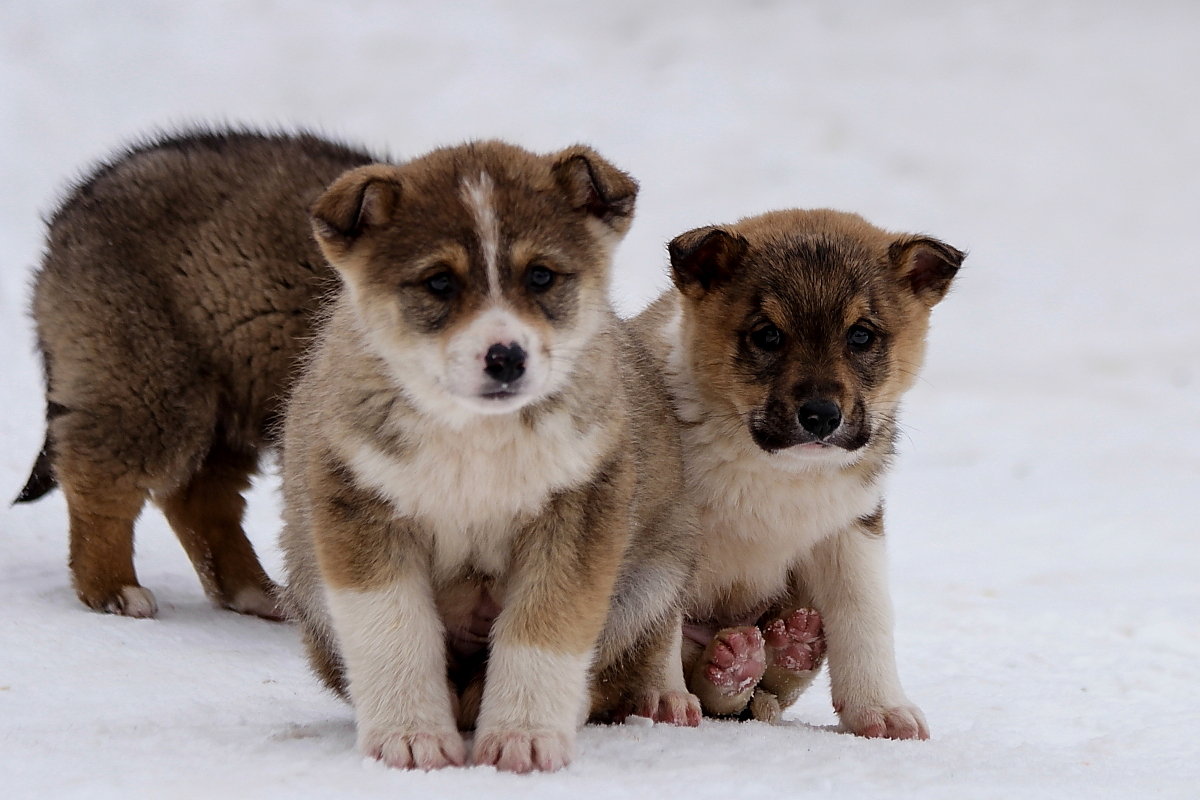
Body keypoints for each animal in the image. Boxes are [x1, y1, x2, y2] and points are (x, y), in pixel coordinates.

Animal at [277, 140, 700, 772]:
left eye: (541, 275)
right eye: (439, 283)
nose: (506, 357)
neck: (477, 436)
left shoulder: (578, 515)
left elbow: (542, 633)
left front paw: (525, 737)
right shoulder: (360, 505)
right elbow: (394, 633)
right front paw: (410, 737)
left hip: (655, 572)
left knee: (643, 644)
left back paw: (662, 696)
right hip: (308, 584)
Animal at [638, 208, 964, 738]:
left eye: (861, 335)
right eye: (768, 335)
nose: (821, 417)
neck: (778, 473)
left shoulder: (852, 531)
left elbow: (865, 617)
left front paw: (880, 710)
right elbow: (657, 628)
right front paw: (665, 702)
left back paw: (780, 650)